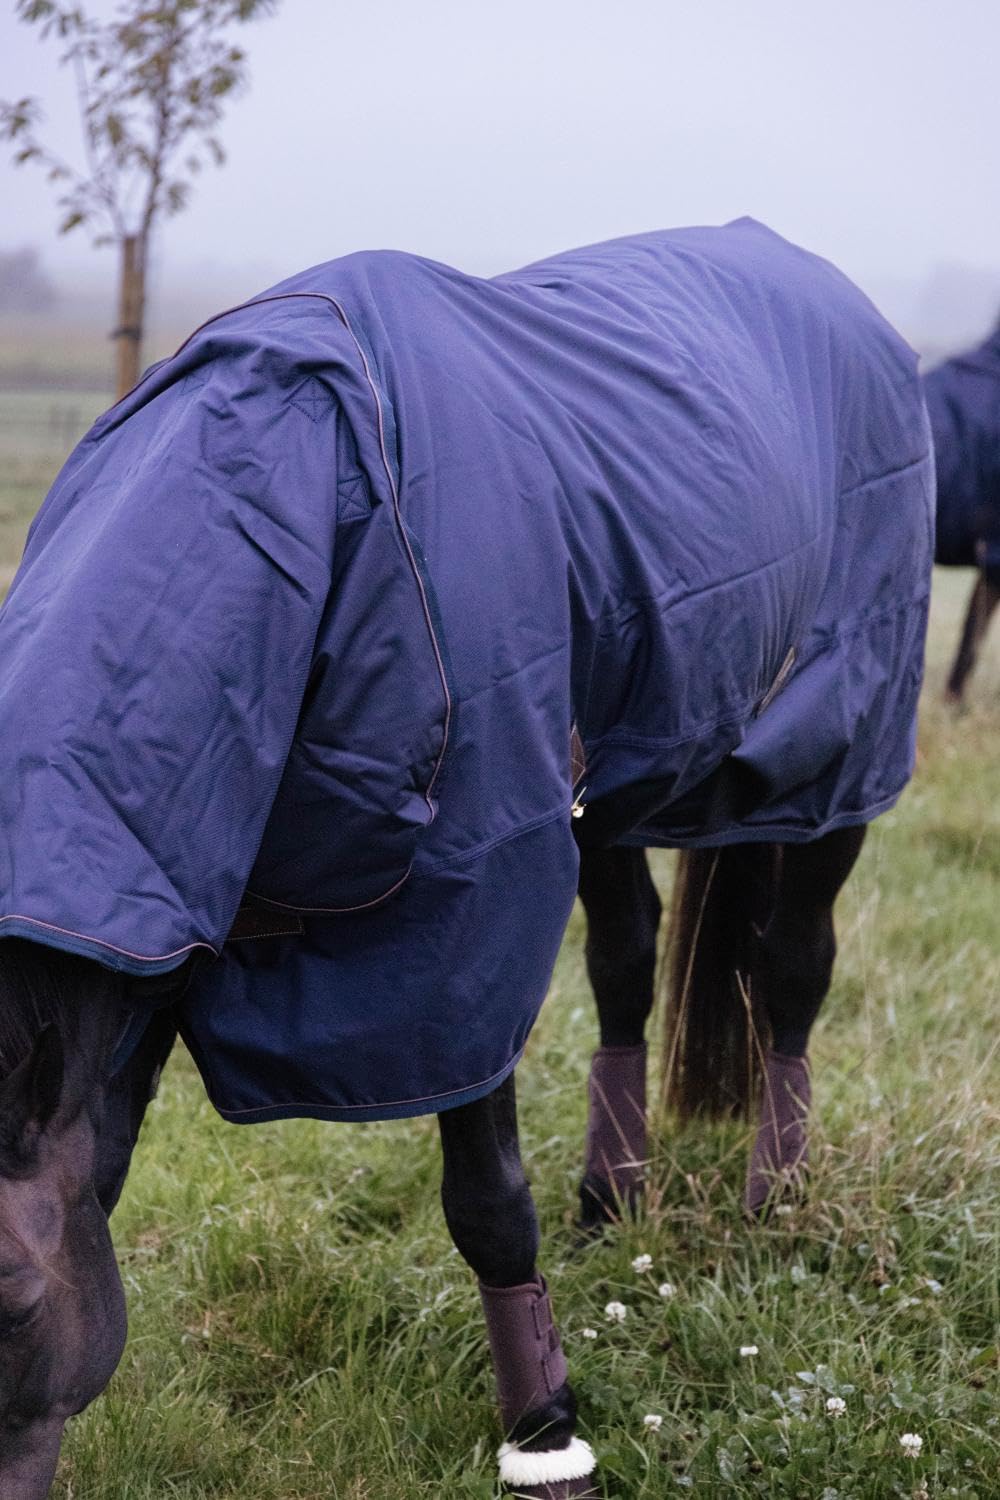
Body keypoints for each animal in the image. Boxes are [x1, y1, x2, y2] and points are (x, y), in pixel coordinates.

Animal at [0, 219, 934, 1498]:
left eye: (10, 1307)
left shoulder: (463, 919)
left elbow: (485, 1198)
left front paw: (546, 1436)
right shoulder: (162, 917)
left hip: (837, 758)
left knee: (791, 968)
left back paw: (775, 1204)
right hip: (624, 789)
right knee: (629, 966)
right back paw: (610, 1199)